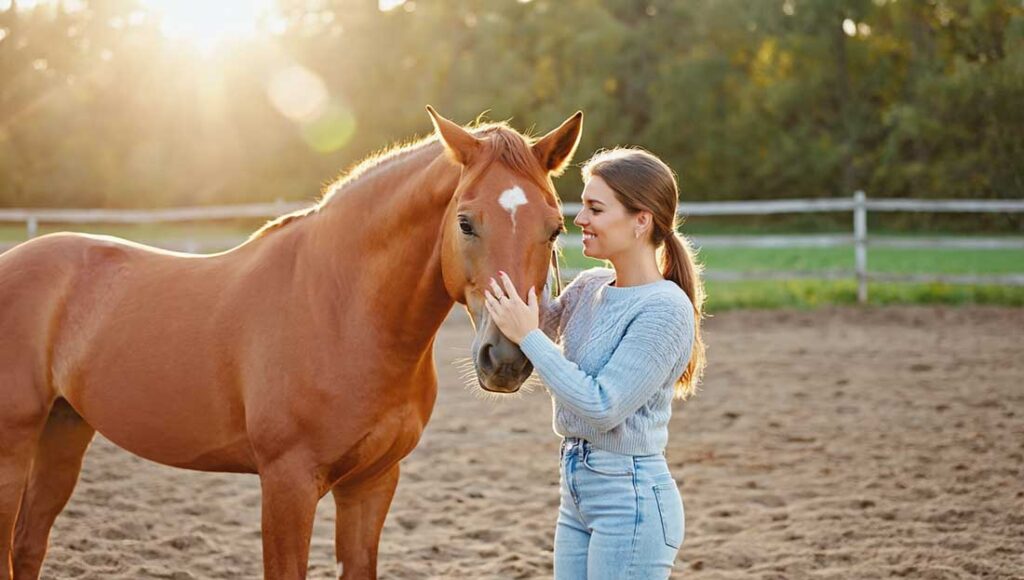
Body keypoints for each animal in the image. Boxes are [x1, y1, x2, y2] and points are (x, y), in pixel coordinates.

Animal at [0, 107, 581, 577]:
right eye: (465, 222)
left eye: (554, 229)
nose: (504, 359)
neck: (342, 313)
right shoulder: (287, 485)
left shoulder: (372, 483)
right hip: (15, 444)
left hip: (64, 429)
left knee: (28, 546)